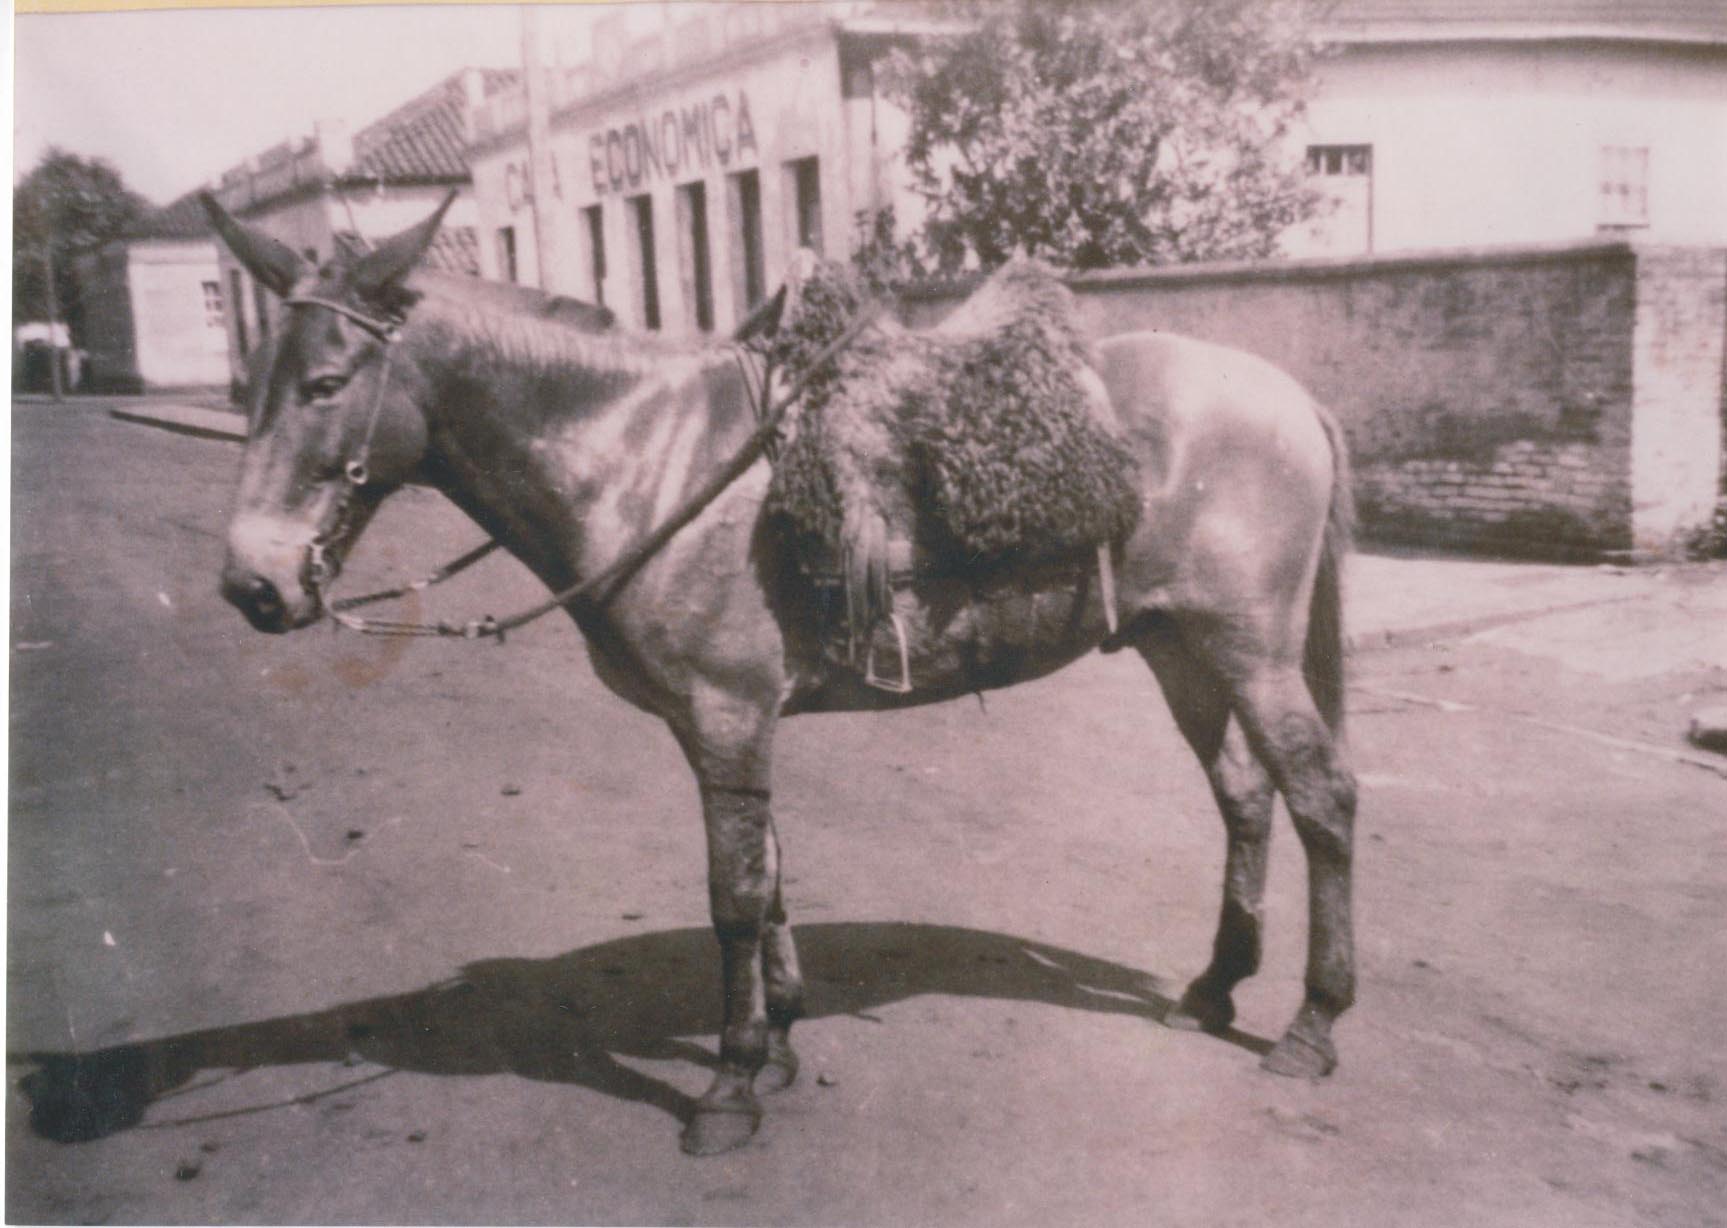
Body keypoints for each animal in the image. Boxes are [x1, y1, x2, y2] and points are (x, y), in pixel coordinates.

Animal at [199, 191, 1357, 1157]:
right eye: (253, 387)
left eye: (326, 385)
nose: (252, 584)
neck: (644, 460)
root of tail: (1294, 399)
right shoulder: (724, 722)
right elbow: (769, 879)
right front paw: (784, 1044)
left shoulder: (727, 712)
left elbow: (732, 896)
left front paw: (730, 1085)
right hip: (1177, 647)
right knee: (1245, 797)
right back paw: (1213, 986)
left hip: (1247, 648)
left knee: (1320, 798)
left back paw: (1312, 1025)